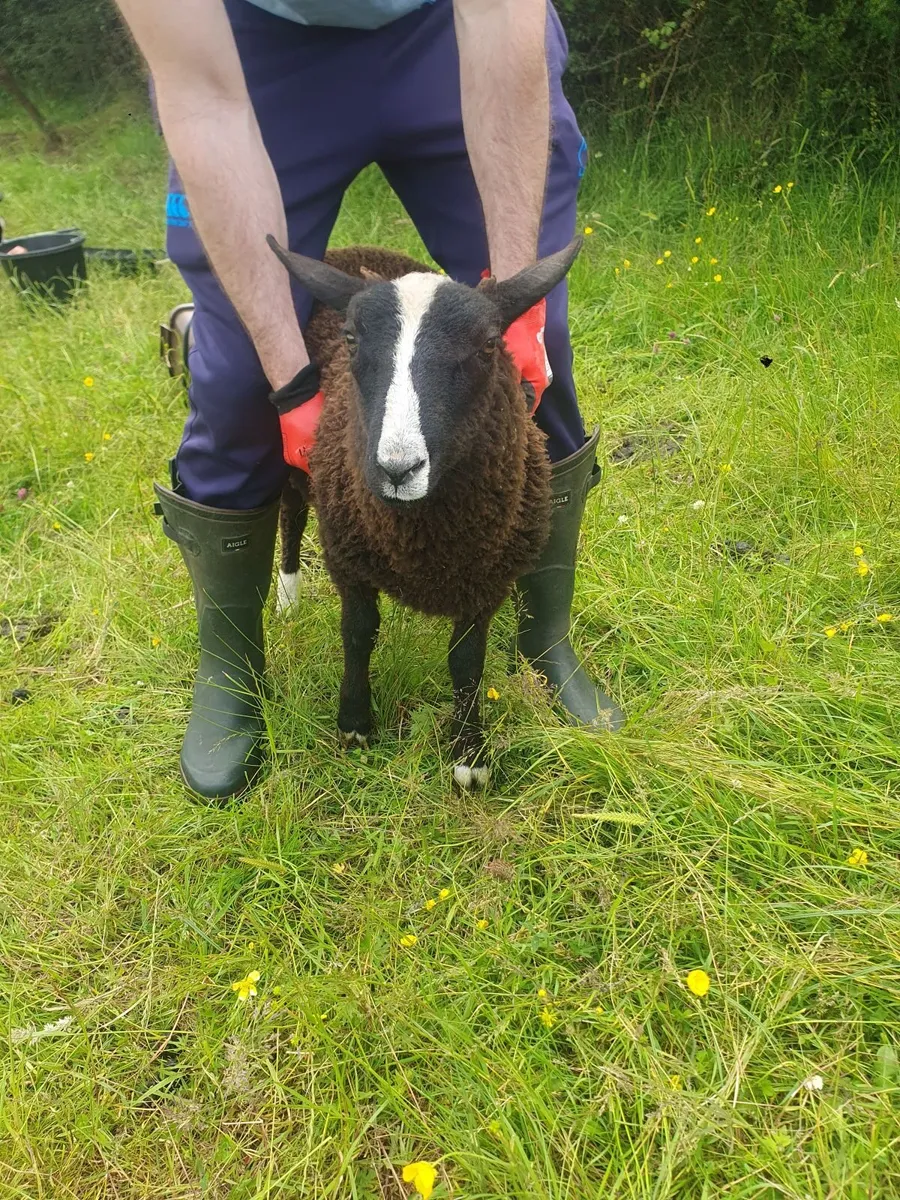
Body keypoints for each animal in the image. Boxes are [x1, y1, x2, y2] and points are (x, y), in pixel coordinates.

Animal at [269, 236, 582, 789]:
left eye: (489, 344)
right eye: (350, 340)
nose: (397, 468)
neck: (422, 539)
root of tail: (349, 248)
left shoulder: (486, 580)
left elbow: (467, 661)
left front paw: (470, 755)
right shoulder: (349, 559)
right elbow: (358, 634)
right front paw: (355, 724)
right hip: (296, 462)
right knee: (290, 516)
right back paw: (287, 598)